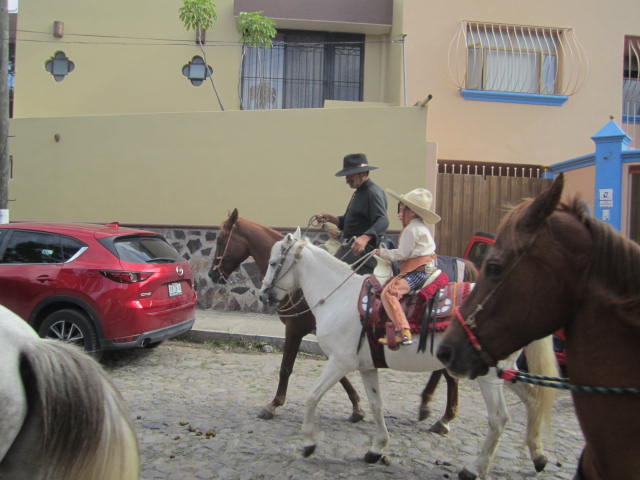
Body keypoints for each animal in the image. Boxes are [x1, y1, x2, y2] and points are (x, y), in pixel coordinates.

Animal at [208, 207, 472, 432]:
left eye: (221, 240)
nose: (212, 274)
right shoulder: (328, 337)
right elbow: (341, 375)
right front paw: (357, 407)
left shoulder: (296, 329)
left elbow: (286, 368)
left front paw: (273, 405)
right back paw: (427, 406)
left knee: (448, 373)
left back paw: (444, 419)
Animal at [260, 231, 560, 478]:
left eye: (274, 263)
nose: (263, 295)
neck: (339, 297)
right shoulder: (366, 367)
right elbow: (376, 405)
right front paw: (377, 448)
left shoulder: (339, 362)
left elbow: (312, 397)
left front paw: (309, 442)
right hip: (504, 372)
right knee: (534, 401)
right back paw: (538, 456)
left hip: (487, 376)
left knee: (499, 418)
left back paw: (474, 467)